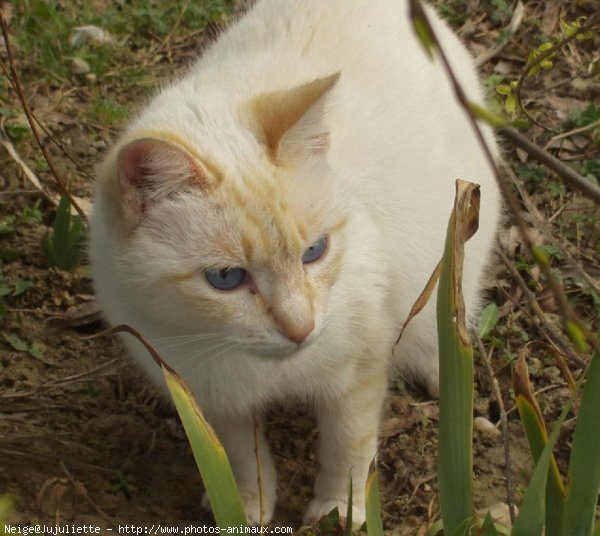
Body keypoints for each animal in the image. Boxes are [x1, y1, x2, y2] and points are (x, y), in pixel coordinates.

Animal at [89, 0, 502, 528]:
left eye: (315, 252)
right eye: (226, 279)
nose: (301, 329)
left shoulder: (358, 369)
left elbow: (349, 448)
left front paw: (340, 511)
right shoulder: (210, 395)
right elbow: (240, 458)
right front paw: (244, 510)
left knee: (448, 316)